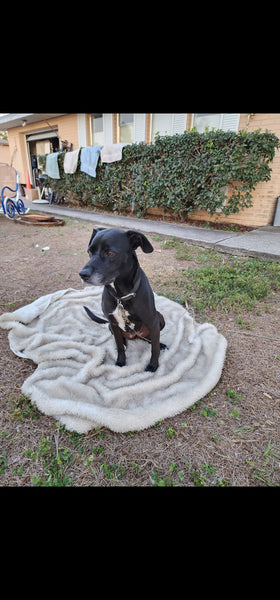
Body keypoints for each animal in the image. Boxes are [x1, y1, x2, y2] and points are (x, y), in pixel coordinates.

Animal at [79, 229, 166, 372]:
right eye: (89, 251)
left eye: (110, 253)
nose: (82, 274)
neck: (121, 296)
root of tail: (134, 336)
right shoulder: (113, 323)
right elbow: (119, 346)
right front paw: (120, 362)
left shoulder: (152, 322)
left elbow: (155, 348)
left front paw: (153, 365)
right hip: (110, 326)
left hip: (160, 318)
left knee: (150, 339)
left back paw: (161, 344)